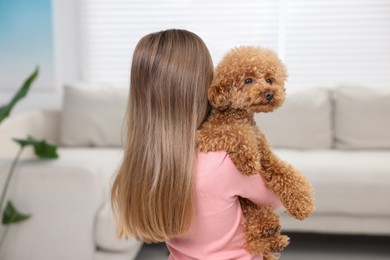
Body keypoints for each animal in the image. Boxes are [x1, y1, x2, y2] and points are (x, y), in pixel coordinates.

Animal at [197, 45, 316, 258]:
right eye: (248, 80)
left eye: (269, 79)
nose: (269, 93)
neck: (239, 115)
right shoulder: (206, 135)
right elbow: (235, 132)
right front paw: (248, 160)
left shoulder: (267, 157)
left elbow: (288, 174)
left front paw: (303, 204)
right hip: (253, 212)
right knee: (254, 239)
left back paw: (276, 240)